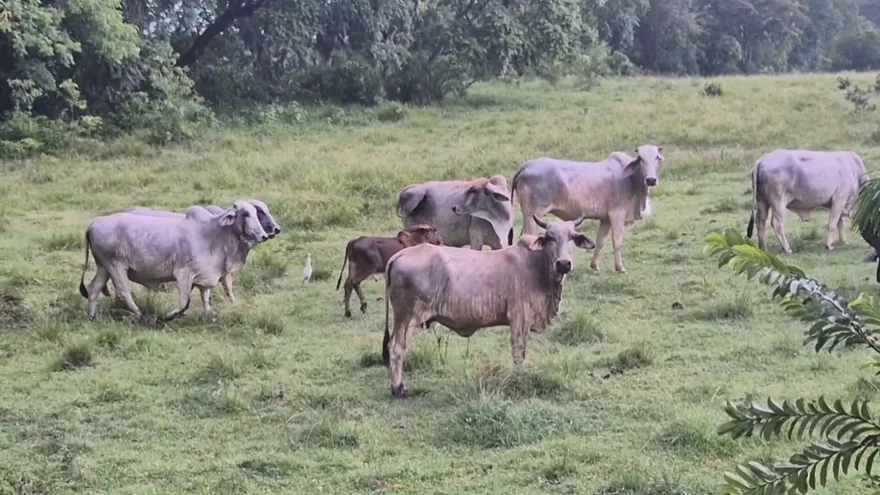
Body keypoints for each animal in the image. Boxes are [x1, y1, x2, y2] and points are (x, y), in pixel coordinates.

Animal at [381, 215, 595, 399]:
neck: (537, 265)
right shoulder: (519, 318)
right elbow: (519, 352)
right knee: (396, 348)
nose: (563, 263)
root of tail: (401, 254)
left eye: (572, 237)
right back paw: (398, 389)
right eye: (550, 237)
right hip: (406, 318)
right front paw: (519, 377)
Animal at [511, 145, 663, 274]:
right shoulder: (617, 214)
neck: (631, 180)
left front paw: (594, 265)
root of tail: (526, 166)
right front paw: (620, 268)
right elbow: (617, 241)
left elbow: (600, 241)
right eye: (640, 158)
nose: (651, 180)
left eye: (657, 157)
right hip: (533, 215)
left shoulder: (606, 219)